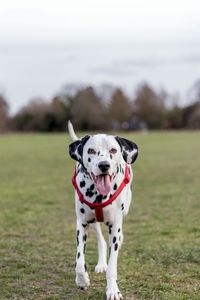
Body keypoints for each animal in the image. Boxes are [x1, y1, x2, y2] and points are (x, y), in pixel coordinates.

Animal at [68, 121, 138, 300]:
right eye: (91, 151)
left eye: (113, 150)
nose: (104, 165)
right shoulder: (81, 224)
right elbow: (79, 261)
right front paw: (82, 280)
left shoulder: (115, 226)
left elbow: (112, 266)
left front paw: (113, 290)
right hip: (93, 221)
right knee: (101, 240)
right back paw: (100, 264)